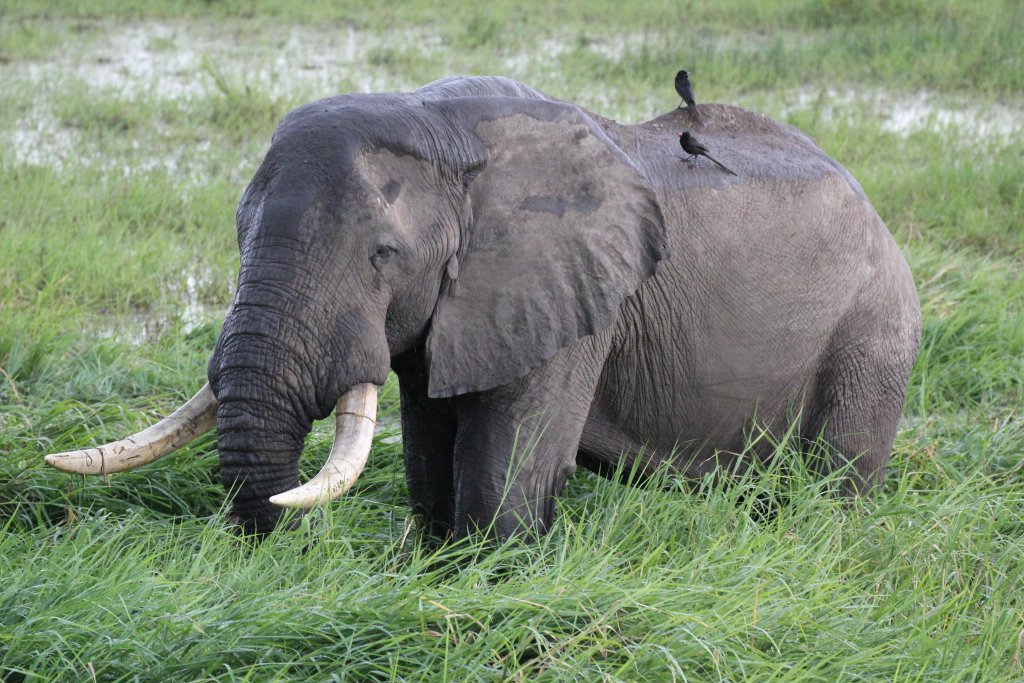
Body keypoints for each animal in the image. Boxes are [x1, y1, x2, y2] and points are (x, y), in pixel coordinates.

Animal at [45, 76, 921, 539]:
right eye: (236, 233)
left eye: (383, 256)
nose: (286, 539)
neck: (438, 125)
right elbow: (432, 453)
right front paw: (432, 551)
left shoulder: (570, 293)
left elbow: (503, 479)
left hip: (875, 330)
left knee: (838, 479)